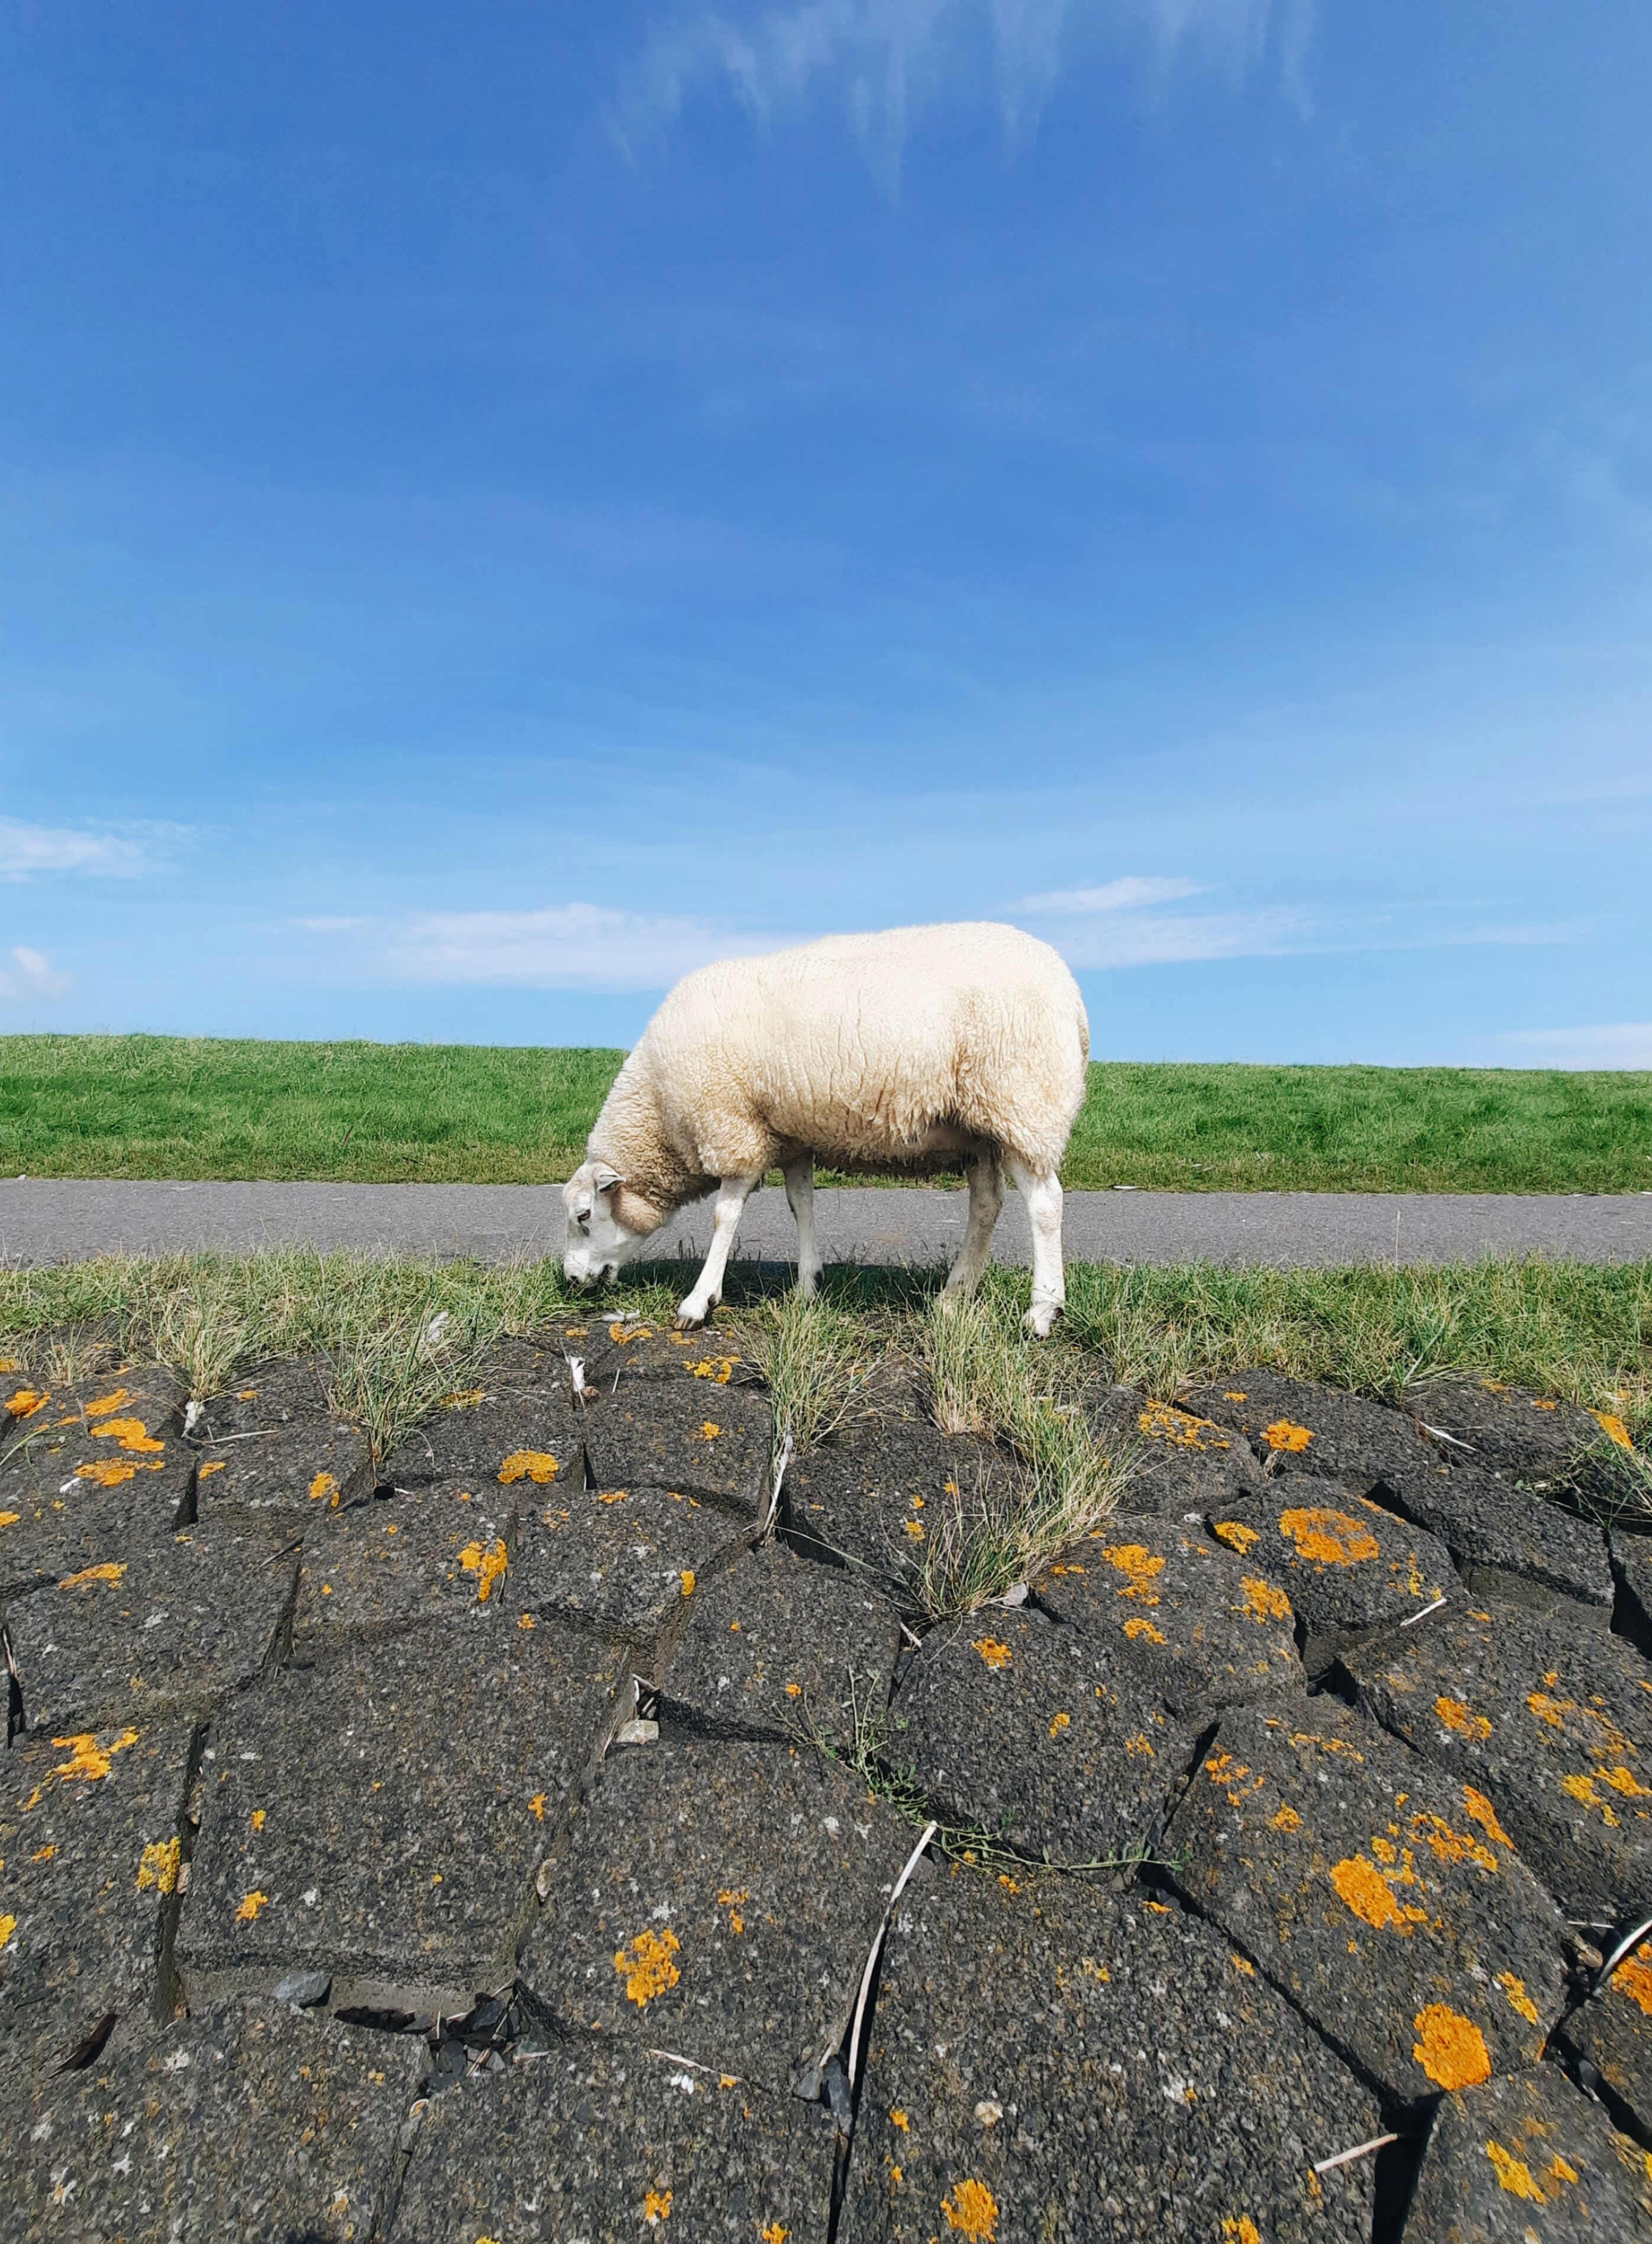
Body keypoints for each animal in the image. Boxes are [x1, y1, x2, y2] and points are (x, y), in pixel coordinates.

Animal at [561, 920, 1089, 1336]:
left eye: (584, 1216)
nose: (570, 1280)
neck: (659, 1105)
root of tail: (1071, 993)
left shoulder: (732, 1127)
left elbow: (724, 1217)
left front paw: (698, 1302)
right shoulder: (792, 1136)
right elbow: (802, 1204)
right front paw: (807, 1287)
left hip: (1023, 1102)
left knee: (1045, 1205)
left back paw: (1042, 1312)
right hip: (979, 1130)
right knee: (985, 1206)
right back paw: (953, 1296)